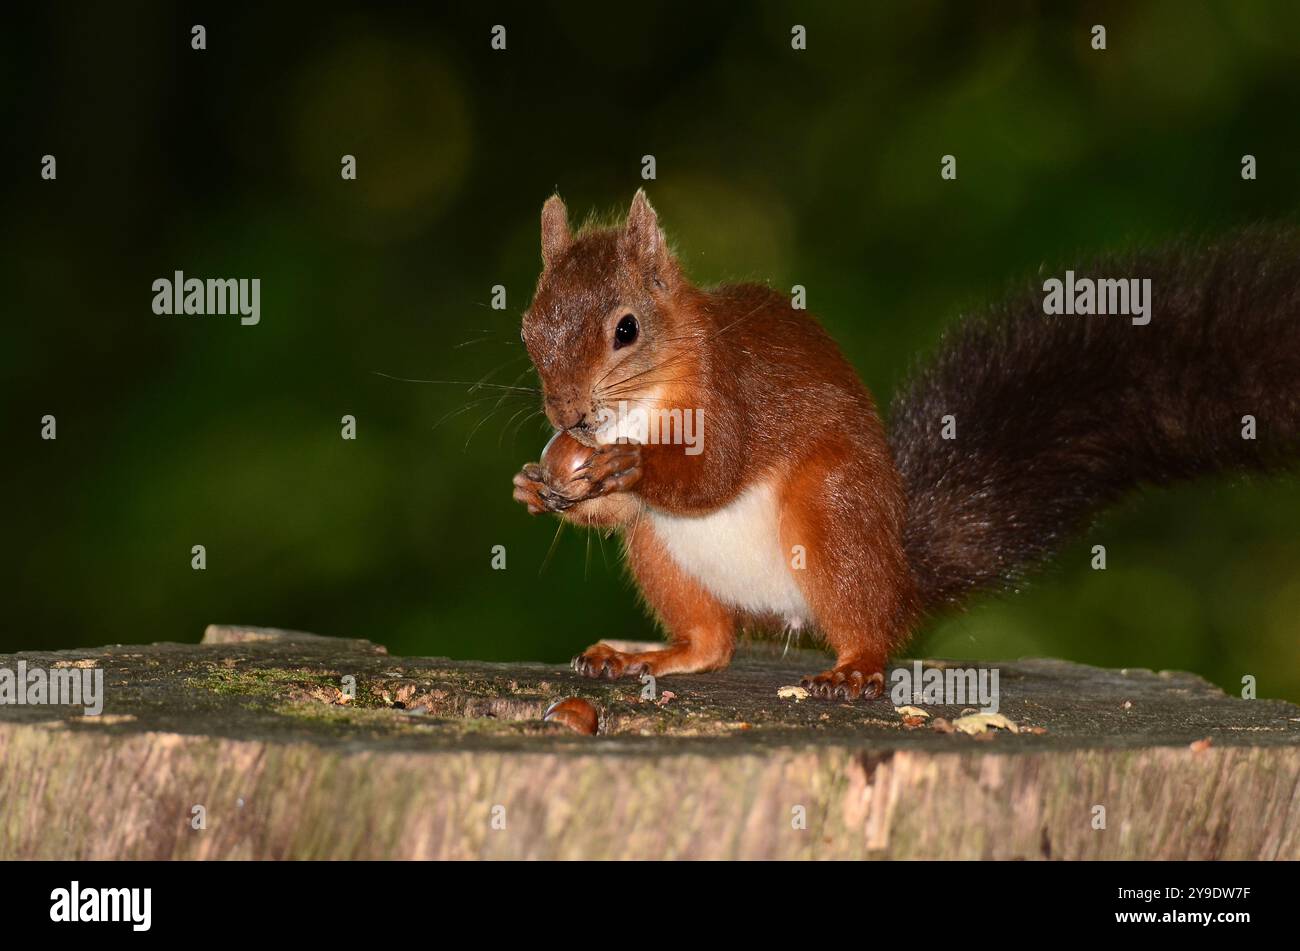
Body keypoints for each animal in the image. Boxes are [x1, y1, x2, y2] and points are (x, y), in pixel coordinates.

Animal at [511, 189, 1300, 700]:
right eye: (529, 326)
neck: (641, 404)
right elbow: (618, 509)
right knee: (713, 643)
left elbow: (716, 470)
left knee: (869, 624)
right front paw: (535, 486)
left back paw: (854, 667)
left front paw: (632, 464)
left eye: (626, 329)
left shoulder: (733, 394)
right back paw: (644, 654)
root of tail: (899, 566)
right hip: (662, 550)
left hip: (834, 511)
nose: (570, 416)